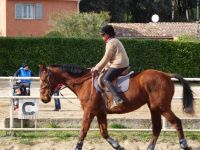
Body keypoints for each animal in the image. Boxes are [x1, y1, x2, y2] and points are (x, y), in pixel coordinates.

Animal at [38, 63, 193, 150]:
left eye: (45, 79)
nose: (44, 98)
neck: (84, 83)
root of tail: (166, 75)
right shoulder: (100, 112)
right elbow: (104, 132)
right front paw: (118, 146)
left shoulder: (89, 112)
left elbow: (83, 131)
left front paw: (77, 147)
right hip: (154, 108)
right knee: (157, 128)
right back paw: (150, 147)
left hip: (162, 107)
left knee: (177, 122)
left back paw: (184, 144)